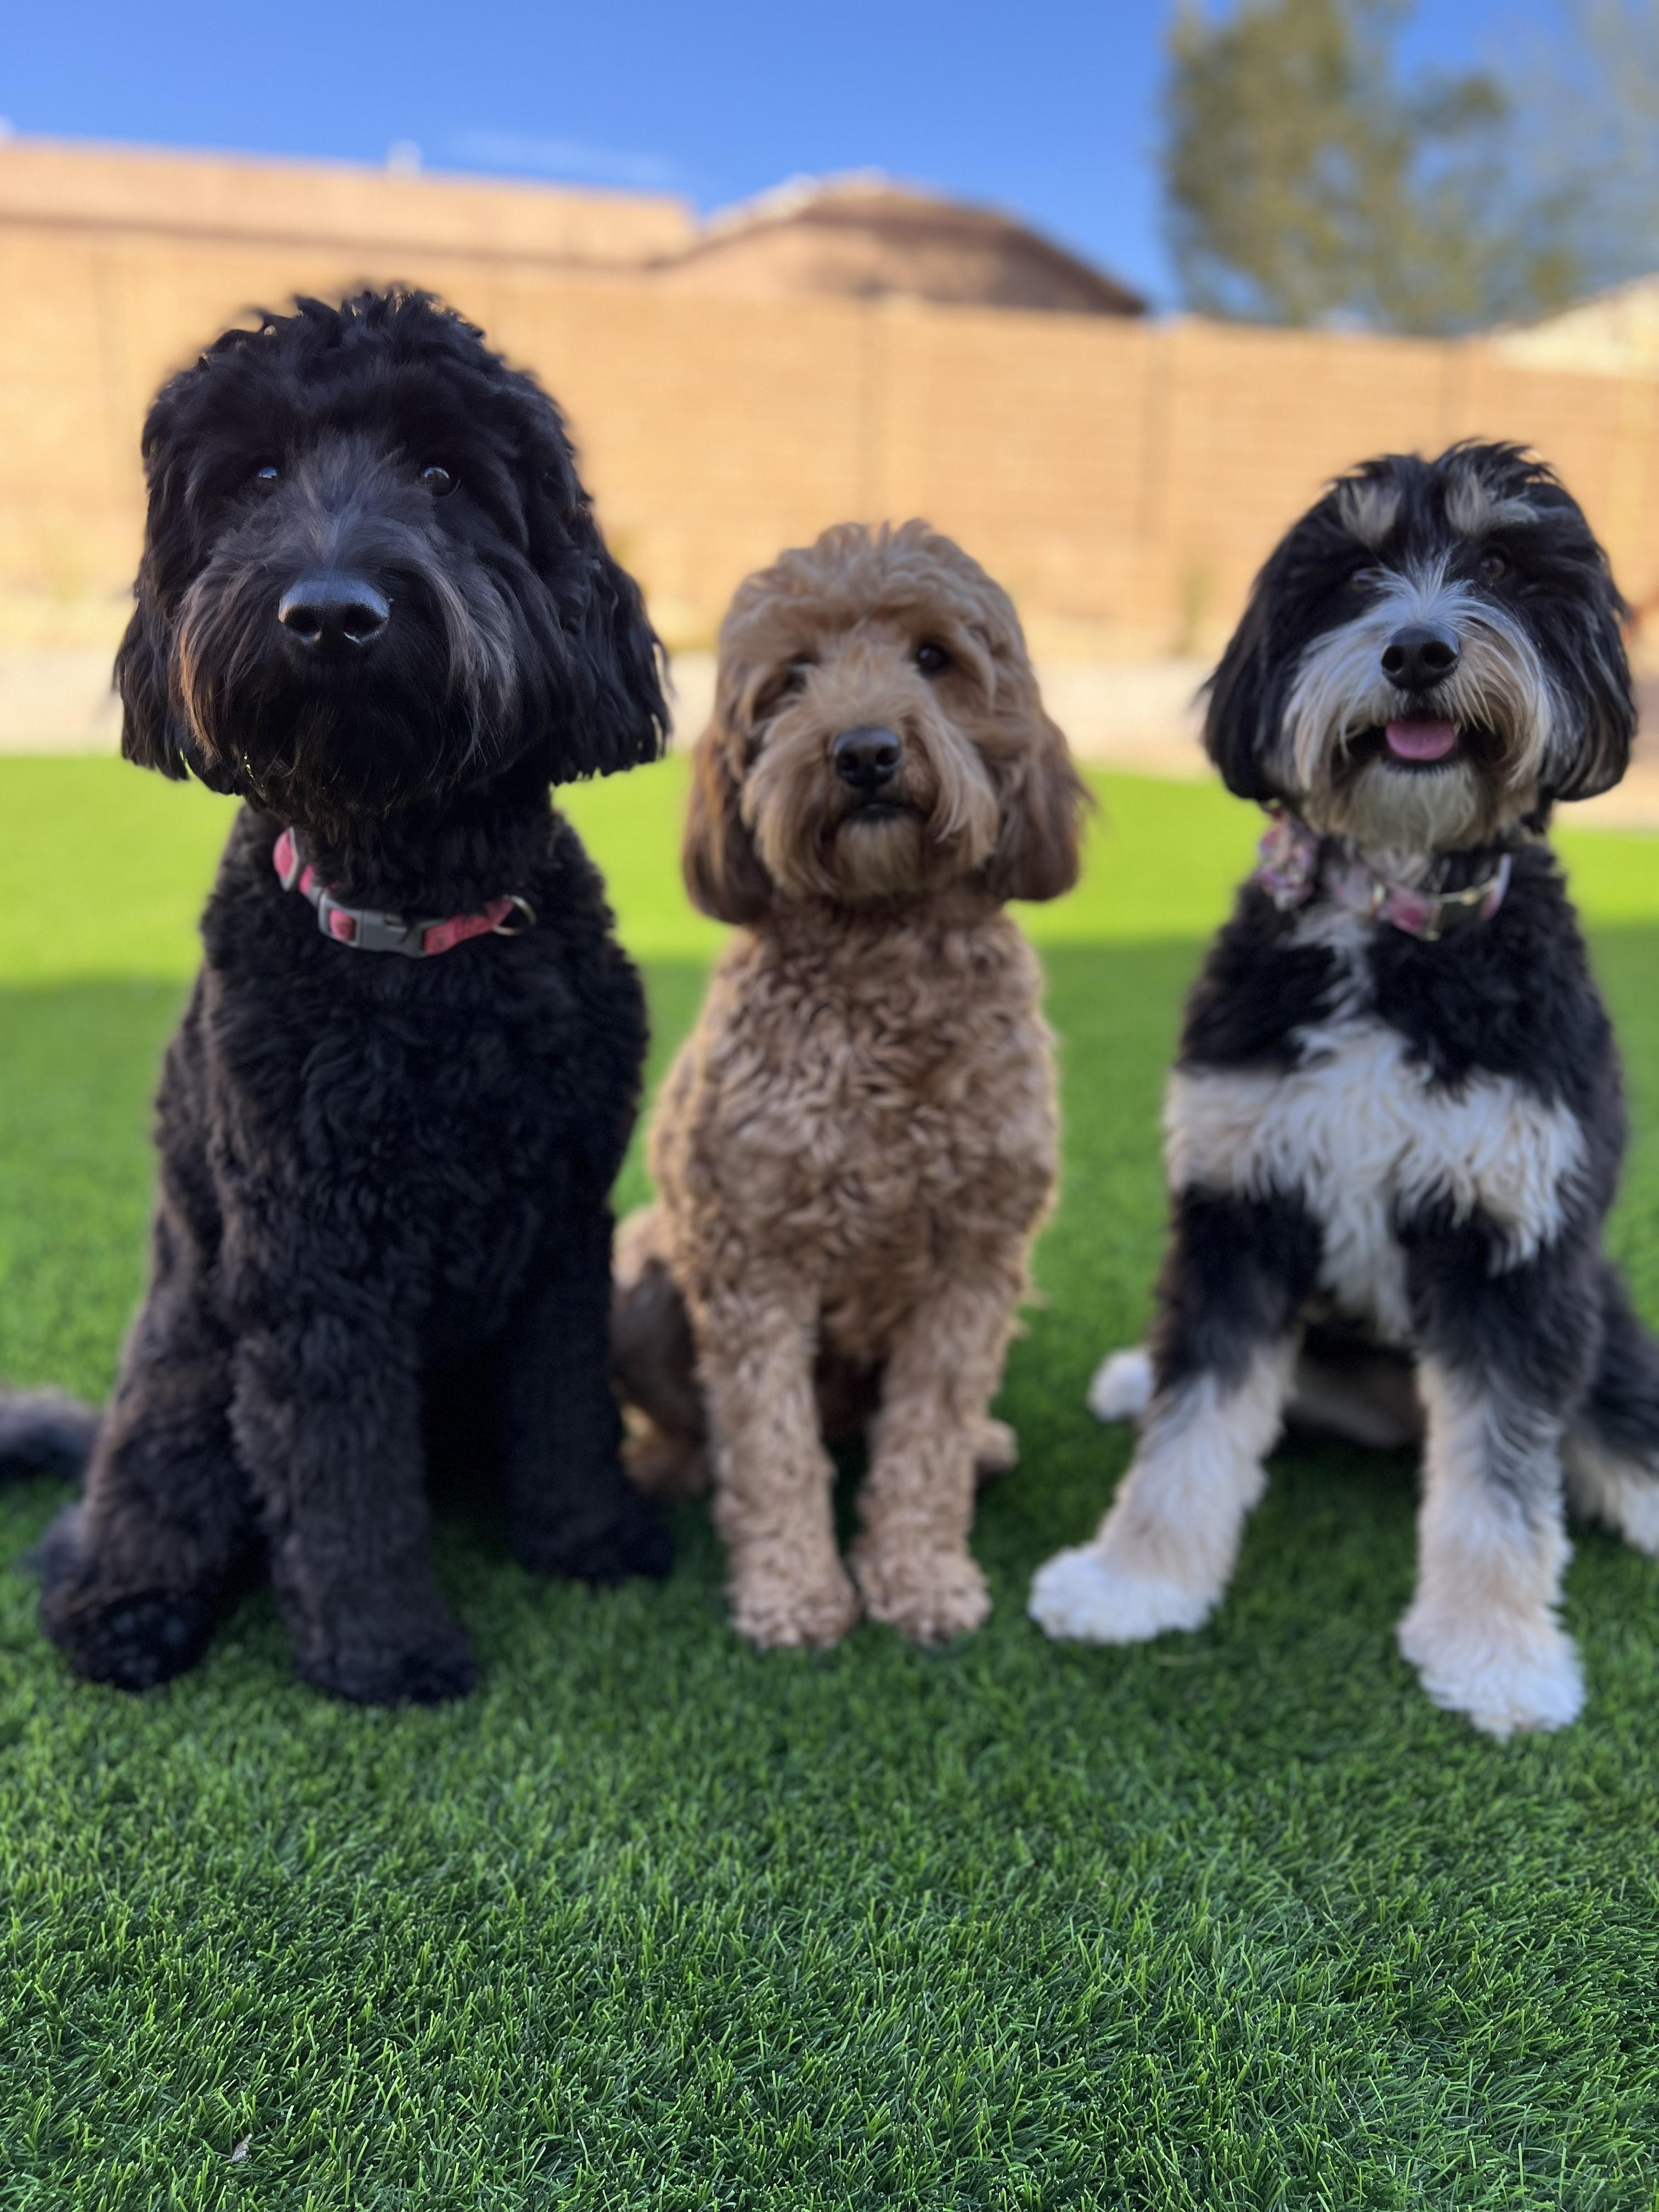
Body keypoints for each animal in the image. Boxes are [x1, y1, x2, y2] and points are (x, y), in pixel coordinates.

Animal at [35, 290, 672, 1703]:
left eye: (443, 474)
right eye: (255, 477)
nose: (332, 613)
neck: (416, 933)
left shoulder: (563, 1228)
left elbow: (566, 1411)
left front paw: (588, 1543)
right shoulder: (312, 1260)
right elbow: (338, 1477)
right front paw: (386, 1650)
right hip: (185, 1365)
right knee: (146, 1502)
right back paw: (122, 1609)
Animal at [611, 521, 1088, 1649]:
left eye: (934, 658)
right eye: (790, 679)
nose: (865, 751)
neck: (885, 951)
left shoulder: (976, 1258)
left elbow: (925, 1439)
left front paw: (920, 1578)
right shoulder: (753, 1256)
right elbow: (771, 1443)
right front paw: (793, 1593)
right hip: (644, 1274)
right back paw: (663, 1464)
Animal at [1029, 440, 1656, 1737]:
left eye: (1501, 566)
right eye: (1355, 574)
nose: (1415, 651)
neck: (1391, 917)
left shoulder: (1514, 1245)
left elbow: (1502, 1484)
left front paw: (1493, 1656)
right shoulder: (1239, 1203)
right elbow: (1192, 1425)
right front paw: (1133, 1583)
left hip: (1594, 1315)